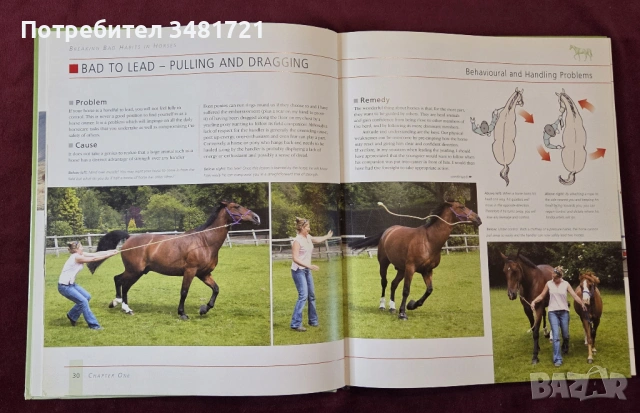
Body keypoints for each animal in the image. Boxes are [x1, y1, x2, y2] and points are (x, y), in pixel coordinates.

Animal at [88, 200, 261, 320]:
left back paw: (123, 307)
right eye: (237, 206)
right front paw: (182, 313)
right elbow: (184, 291)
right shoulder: (190, 271)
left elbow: (216, 289)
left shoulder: (204, 274)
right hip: (134, 270)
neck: (204, 241)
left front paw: (204, 309)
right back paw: (121, 305)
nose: (256, 217)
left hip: (138, 272)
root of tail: (129, 238)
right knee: (120, 281)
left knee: (122, 283)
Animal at [349, 201, 482, 320]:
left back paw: (392, 307)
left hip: (401, 269)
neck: (428, 241)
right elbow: (406, 290)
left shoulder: (427, 271)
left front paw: (412, 305)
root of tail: (388, 231)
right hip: (384, 264)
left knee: (393, 284)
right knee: (384, 282)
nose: (478, 219)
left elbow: (429, 290)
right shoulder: (410, 268)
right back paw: (382, 306)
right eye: (462, 206)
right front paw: (403, 313)